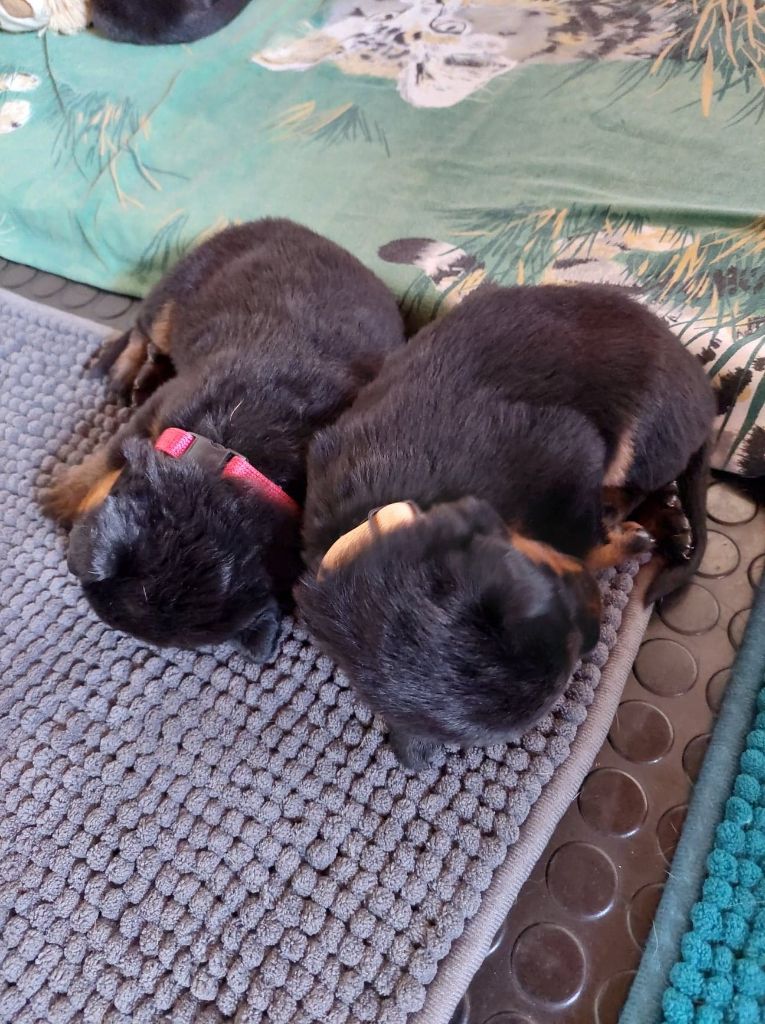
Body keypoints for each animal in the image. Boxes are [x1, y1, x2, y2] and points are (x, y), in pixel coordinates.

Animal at [43, 218, 406, 658]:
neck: (231, 457)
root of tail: (276, 222)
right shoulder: (166, 405)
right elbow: (110, 452)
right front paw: (61, 497)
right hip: (177, 292)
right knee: (143, 331)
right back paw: (124, 373)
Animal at [297, 284, 716, 768]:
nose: (593, 634)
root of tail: (702, 390)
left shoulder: (567, 446)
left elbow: (577, 534)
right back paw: (668, 520)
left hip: (641, 431)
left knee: (641, 480)